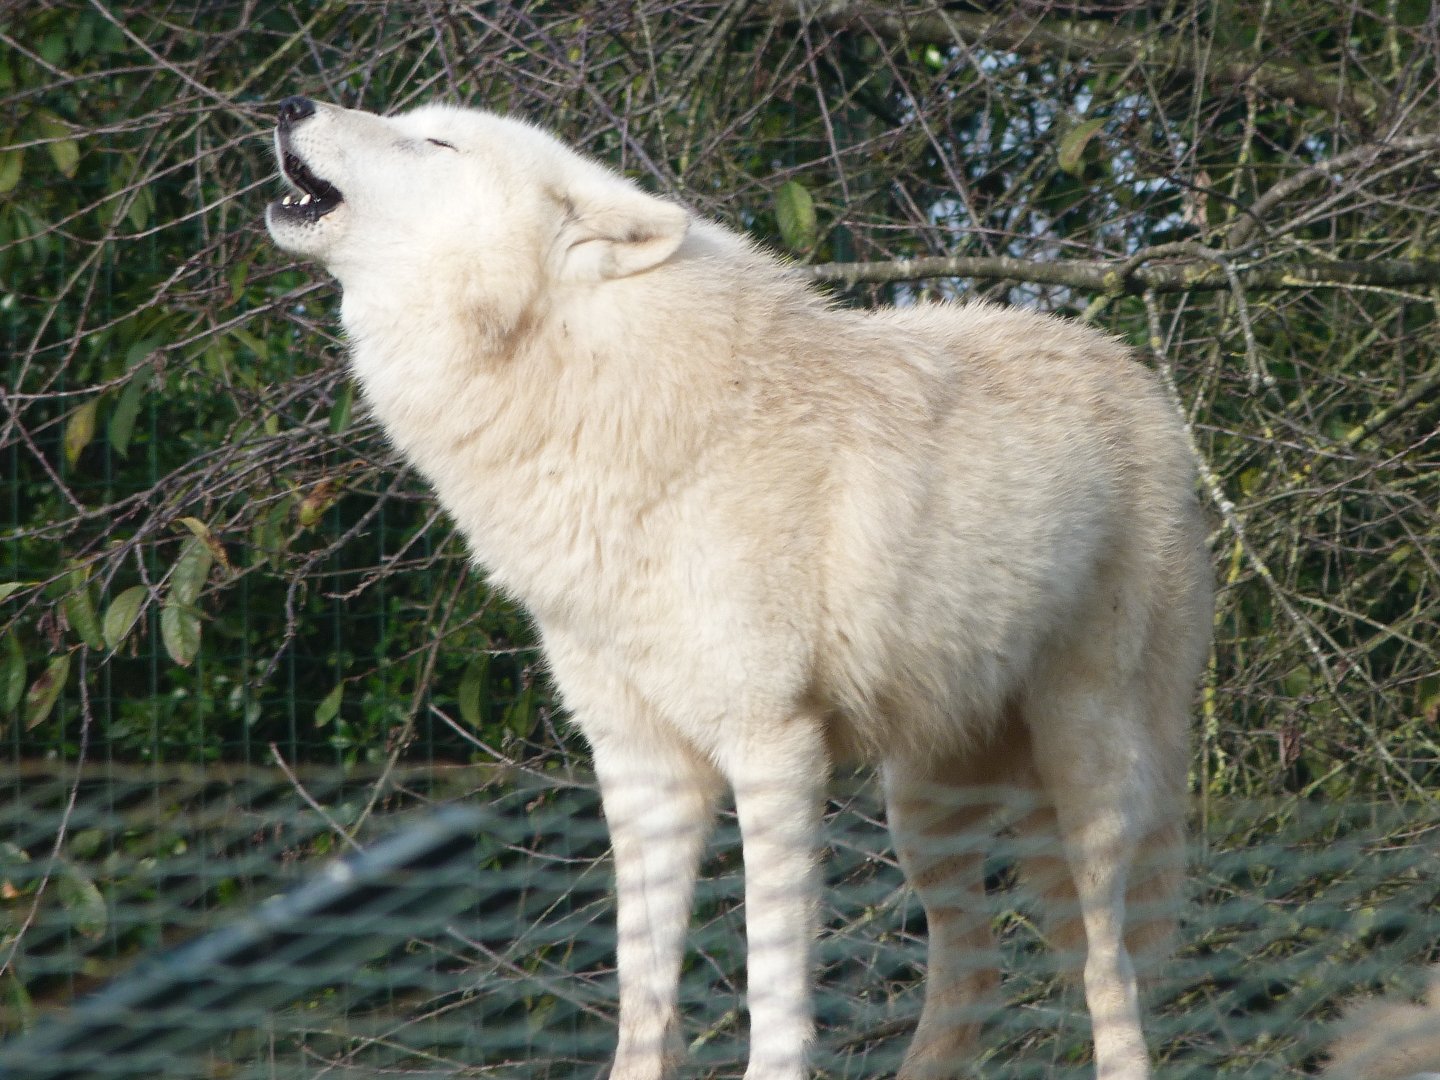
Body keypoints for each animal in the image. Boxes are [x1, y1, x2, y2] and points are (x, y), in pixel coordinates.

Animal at [265, 95, 1213, 1080]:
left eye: (435, 140)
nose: (293, 104)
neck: (603, 405)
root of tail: (1139, 377)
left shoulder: (774, 746)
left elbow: (772, 981)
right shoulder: (640, 764)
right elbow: (641, 994)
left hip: (1088, 768)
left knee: (1110, 968)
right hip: (921, 801)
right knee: (975, 973)